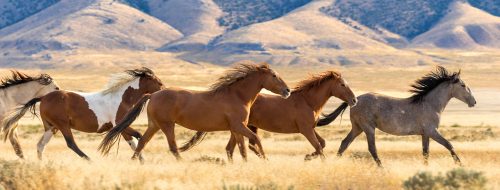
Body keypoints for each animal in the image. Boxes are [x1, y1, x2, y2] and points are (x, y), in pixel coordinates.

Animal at [2, 67, 163, 160]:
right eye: (159, 83)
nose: (164, 91)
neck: (121, 98)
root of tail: (43, 97)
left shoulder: (122, 128)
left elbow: (134, 142)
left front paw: (140, 160)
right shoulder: (120, 125)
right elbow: (138, 137)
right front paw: (139, 159)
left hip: (51, 127)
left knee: (41, 145)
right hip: (62, 125)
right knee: (71, 143)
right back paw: (89, 160)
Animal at [98, 63, 292, 163]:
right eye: (274, 76)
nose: (287, 91)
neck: (237, 95)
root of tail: (152, 94)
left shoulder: (235, 128)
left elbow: (236, 148)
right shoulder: (239, 126)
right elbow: (253, 141)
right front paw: (264, 160)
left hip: (154, 125)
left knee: (142, 143)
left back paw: (134, 162)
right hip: (167, 125)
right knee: (172, 147)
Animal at [180, 70, 360, 161]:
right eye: (342, 85)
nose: (354, 100)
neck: (308, 101)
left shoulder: (311, 128)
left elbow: (322, 144)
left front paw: (308, 157)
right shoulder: (306, 130)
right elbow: (319, 147)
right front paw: (315, 159)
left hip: (239, 127)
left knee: (233, 148)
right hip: (245, 126)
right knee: (247, 145)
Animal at [316, 66, 476, 166]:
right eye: (463, 85)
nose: (473, 102)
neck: (431, 104)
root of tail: (354, 100)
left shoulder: (425, 134)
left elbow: (425, 153)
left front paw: (426, 167)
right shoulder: (432, 131)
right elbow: (449, 145)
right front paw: (460, 165)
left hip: (357, 128)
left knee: (344, 144)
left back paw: (334, 163)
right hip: (368, 128)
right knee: (372, 149)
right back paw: (382, 168)